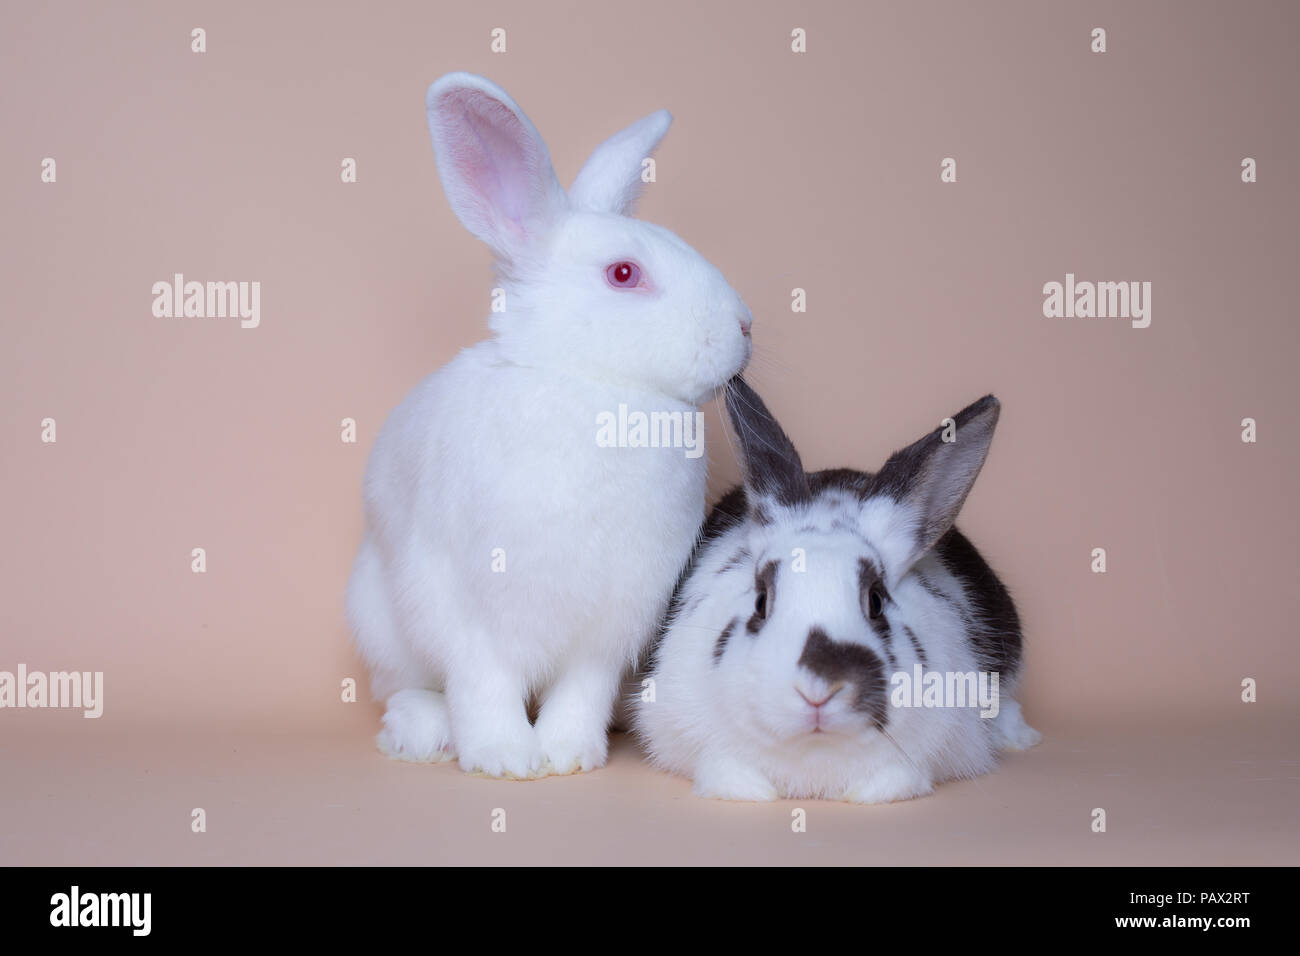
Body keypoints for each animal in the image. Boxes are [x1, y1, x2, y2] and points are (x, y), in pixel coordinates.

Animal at [345, 73, 753, 779]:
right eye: (623, 273)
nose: (744, 326)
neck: (592, 385)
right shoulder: (465, 610)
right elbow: (482, 685)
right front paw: (504, 759)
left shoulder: (613, 625)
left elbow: (580, 691)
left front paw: (569, 756)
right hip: (379, 621)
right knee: (403, 686)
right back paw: (419, 733)